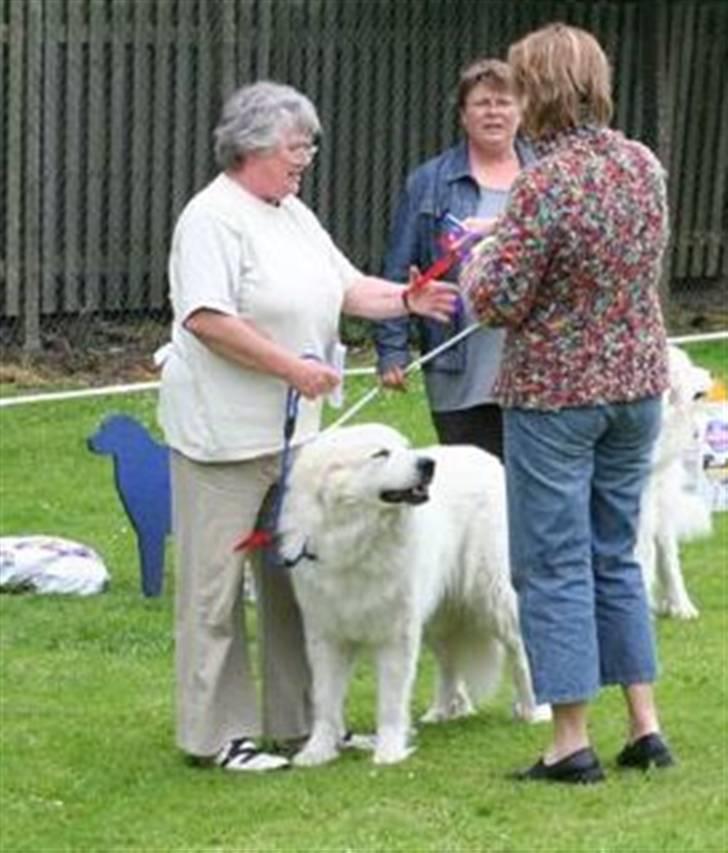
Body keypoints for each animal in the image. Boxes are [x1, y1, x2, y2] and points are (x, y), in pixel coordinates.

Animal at [278, 422, 544, 764]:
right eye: (381, 453)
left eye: (406, 447)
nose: (428, 464)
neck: (357, 539)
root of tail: (488, 459)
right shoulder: (326, 635)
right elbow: (325, 699)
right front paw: (317, 751)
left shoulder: (396, 634)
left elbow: (391, 700)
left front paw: (389, 751)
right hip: (436, 618)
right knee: (449, 665)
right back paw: (441, 711)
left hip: (493, 596)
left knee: (520, 652)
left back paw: (535, 709)